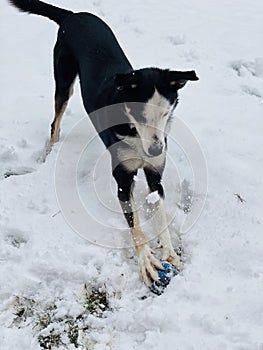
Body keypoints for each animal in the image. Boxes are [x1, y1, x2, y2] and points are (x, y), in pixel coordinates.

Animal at [9, 0, 199, 288]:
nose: (156, 149)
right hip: (63, 80)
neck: (134, 132)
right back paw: (50, 150)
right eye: (140, 114)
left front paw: (168, 251)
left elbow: (160, 213)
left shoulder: (155, 173)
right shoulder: (122, 179)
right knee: (55, 122)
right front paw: (146, 262)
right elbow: (135, 225)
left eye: (167, 113)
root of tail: (73, 15)